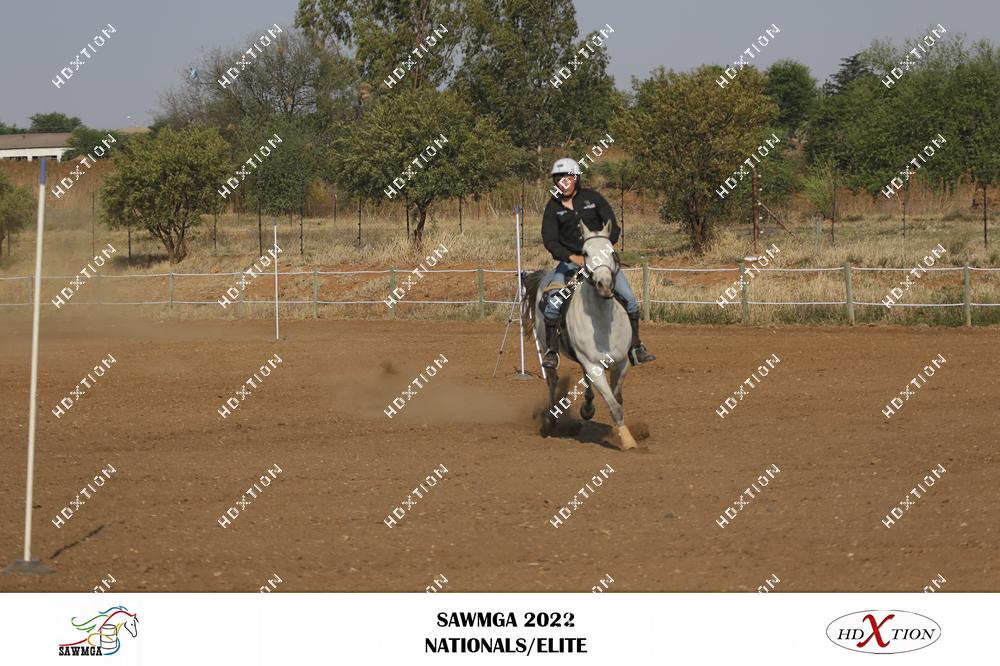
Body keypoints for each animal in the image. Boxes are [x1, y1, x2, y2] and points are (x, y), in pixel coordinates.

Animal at [523, 220, 639, 450]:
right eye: (585, 253)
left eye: (611, 251)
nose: (604, 285)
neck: (603, 323)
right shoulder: (594, 366)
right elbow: (614, 404)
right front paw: (628, 441)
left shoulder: (621, 363)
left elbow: (617, 399)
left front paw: (619, 432)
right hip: (546, 347)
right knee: (552, 380)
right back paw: (552, 419)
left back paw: (587, 408)